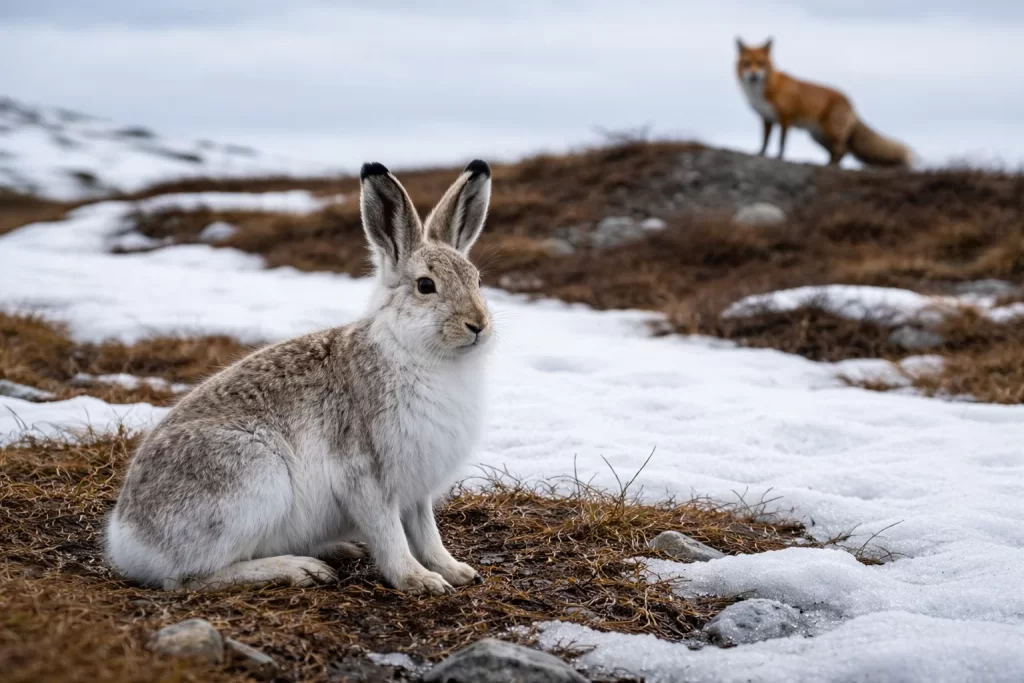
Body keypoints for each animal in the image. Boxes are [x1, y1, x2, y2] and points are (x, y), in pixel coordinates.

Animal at [105, 160, 495, 595]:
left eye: (478, 280)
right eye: (426, 286)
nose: (478, 325)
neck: (416, 351)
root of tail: (126, 541)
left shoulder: (416, 490)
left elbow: (427, 533)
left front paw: (455, 571)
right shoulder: (366, 477)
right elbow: (390, 535)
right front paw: (418, 580)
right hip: (253, 475)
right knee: (190, 579)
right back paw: (300, 569)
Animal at [735, 38, 915, 168]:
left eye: (760, 64)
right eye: (746, 64)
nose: (753, 75)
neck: (764, 91)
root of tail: (850, 103)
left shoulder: (785, 118)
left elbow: (781, 142)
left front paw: (779, 158)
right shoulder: (766, 118)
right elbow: (765, 141)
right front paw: (760, 154)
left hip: (830, 131)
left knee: (843, 150)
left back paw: (831, 166)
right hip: (818, 136)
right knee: (836, 151)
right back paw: (826, 164)